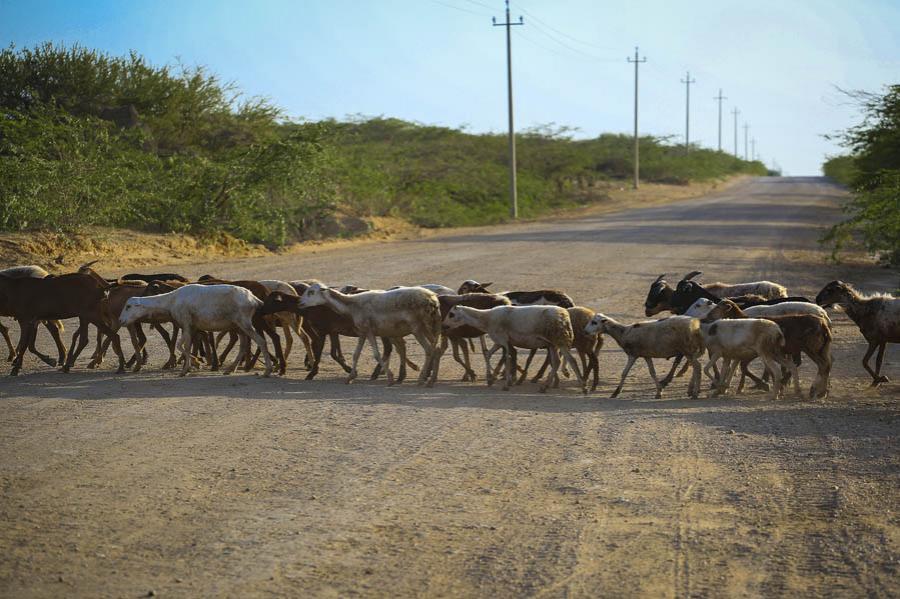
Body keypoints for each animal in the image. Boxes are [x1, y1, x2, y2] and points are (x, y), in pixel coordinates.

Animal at [118, 284, 270, 378]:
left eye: (128, 306)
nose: (120, 321)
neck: (171, 301)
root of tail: (254, 299)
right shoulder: (190, 326)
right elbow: (183, 345)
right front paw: (194, 363)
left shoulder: (185, 323)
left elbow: (183, 346)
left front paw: (188, 367)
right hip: (238, 325)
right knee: (243, 345)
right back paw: (230, 369)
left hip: (244, 322)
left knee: (261, 341)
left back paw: (267, 371)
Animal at [298, 284, 442, 386]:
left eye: (311, 292)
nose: (300, 303)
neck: (351, 305)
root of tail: (432, 299)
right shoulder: (362, 332)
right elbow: (356, 354)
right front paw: (350, 377)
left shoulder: (369, 331)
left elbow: (376, 354)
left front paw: (390, 378)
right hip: (429, 327)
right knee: (436, 349)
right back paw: (431, 379)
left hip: (418, 328)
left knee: (429, 349)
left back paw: (421, 379)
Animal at [442, 304, 584, 394]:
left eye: (451, 314)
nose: (444, 326)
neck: (486, 318)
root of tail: (565, 315)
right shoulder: (499, 341)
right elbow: (488, 355)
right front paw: (490, 378)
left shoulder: (503, 340)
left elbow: (507, 357)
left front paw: (505, 383)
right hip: (553, 344)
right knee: (557, 362)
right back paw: (545, 387)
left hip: (559, 341)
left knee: (571, 360)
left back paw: (583, 387)